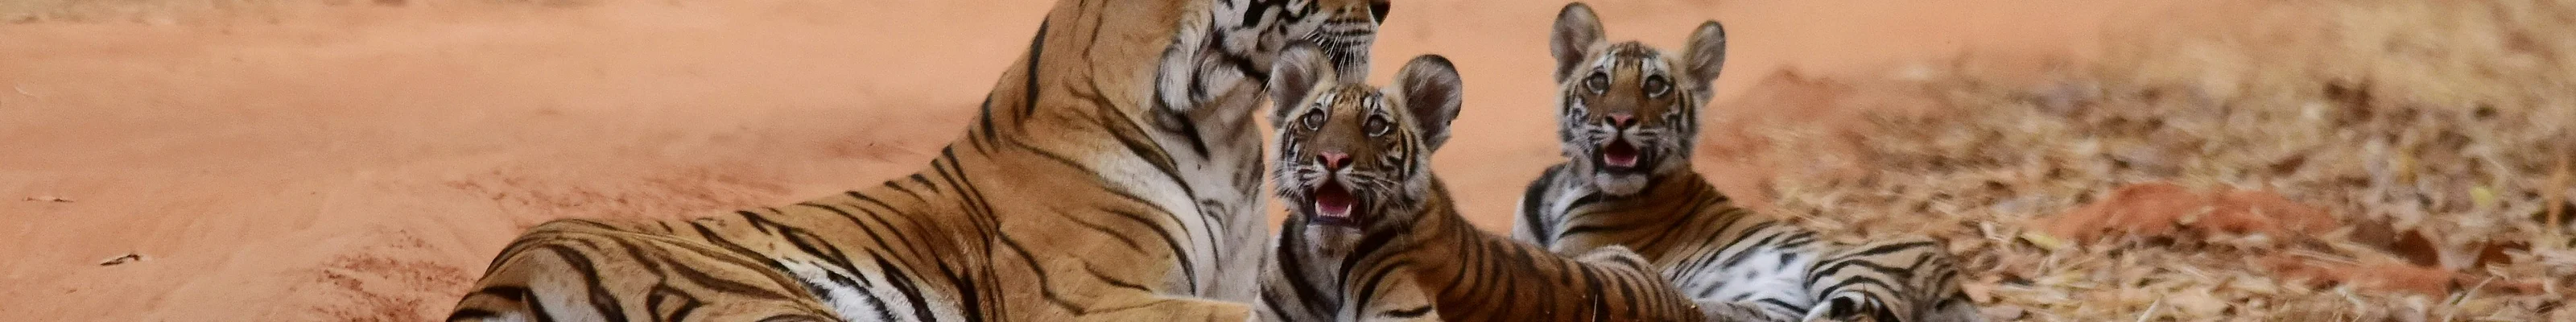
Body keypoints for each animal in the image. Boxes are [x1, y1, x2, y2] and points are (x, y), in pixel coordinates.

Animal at [1507, 3, 1982, 322]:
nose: (1621, 119)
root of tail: (1954, 277)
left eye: (1655, 85)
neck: (1570, 182)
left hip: (1847, 266)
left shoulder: (1576, 254)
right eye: (1598, 81)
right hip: (1775, 302)